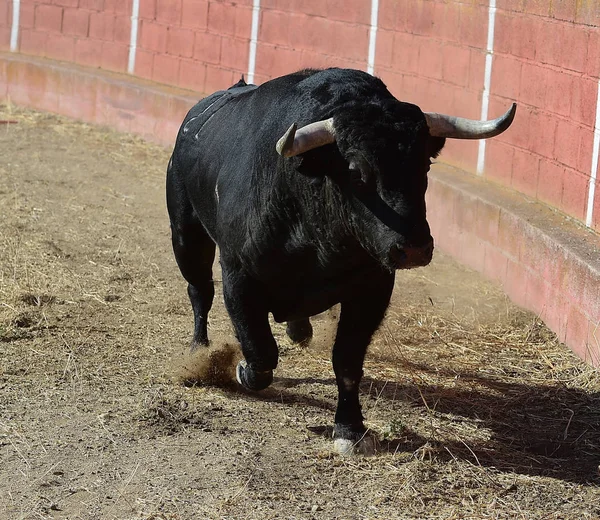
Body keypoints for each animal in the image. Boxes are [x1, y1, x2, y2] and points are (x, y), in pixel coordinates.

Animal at [166, 69, 512, 456]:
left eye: (424, 164)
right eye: (356, 170)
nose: (414, 249)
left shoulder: (373, 288)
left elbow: (347, 360)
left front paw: (349, 428)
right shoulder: (238, 277)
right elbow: (261, 353)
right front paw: (239, 370)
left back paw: (298, 330)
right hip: (186, 232)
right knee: (199, 292)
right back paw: (199, 351)